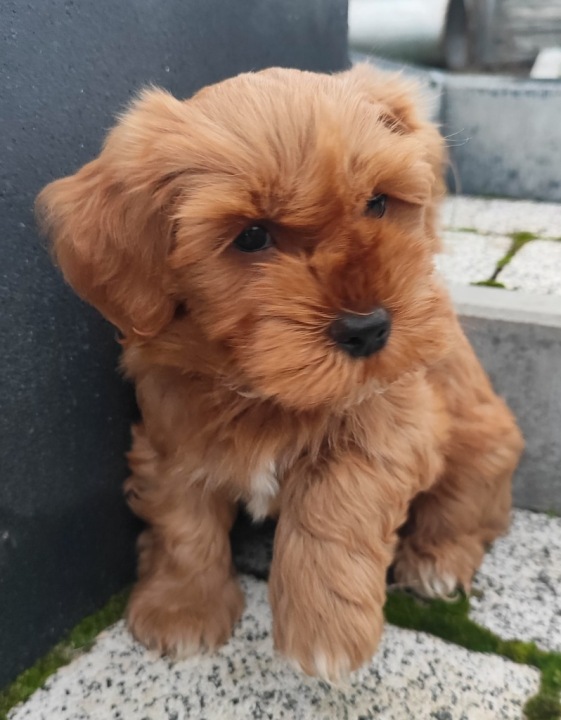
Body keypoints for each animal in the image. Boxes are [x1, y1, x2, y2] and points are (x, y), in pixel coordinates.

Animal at [36, 63, 523, 682]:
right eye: (251, 235)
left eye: (378, 204)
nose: (368, 329)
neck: (263, 389)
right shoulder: (173, 433)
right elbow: (182, 522)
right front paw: (183, 607)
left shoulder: (397, 421)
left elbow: (335, 499)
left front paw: (324, 629)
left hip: (484, 442)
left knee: (469, 508)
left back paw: (436, 561)